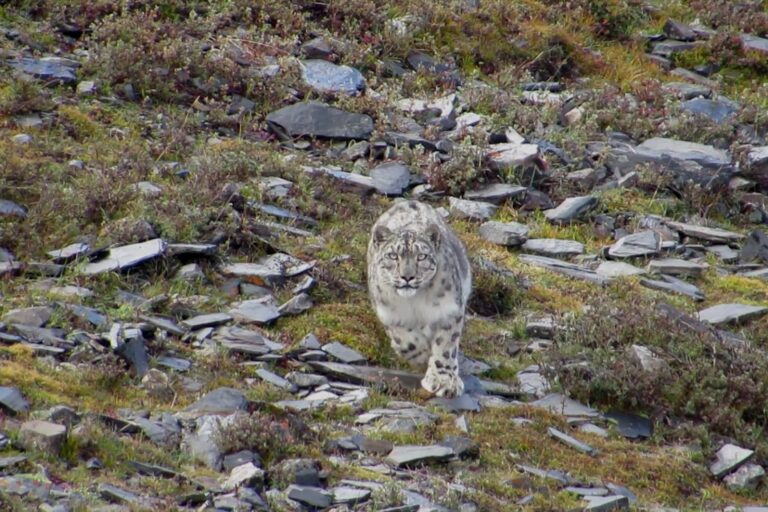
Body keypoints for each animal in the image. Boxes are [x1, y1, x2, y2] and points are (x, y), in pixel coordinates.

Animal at [364, 199, 468, 396]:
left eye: (421, 256)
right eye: (393, 255)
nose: (407, 276)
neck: (415, 303)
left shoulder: (449, 311)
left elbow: (445, 346)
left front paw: (444, 380)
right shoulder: (390, 314)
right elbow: (406, 341)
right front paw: (422, 355)